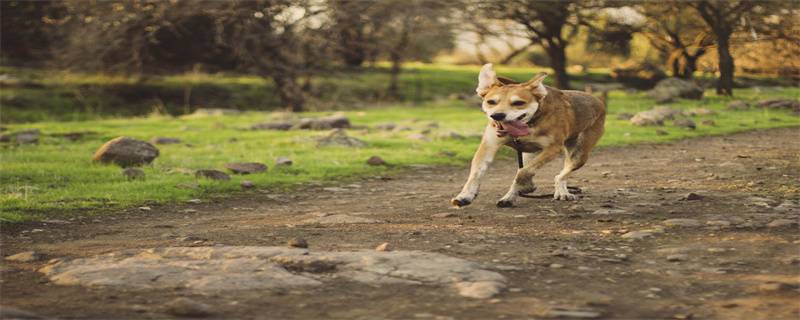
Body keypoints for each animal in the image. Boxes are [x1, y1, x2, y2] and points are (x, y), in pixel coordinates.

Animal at [450, 63, 608, 208]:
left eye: (518, 103)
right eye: (491, 102)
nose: (497, 115)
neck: (528, 125)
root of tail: (597, 100)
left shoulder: (553, 148)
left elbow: (524, 172)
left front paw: (524, 186)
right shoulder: (489, 145)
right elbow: (476, 173)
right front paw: (465, 196)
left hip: (579, 154)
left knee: (560, 174)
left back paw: (559, 191)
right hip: (528, 154)